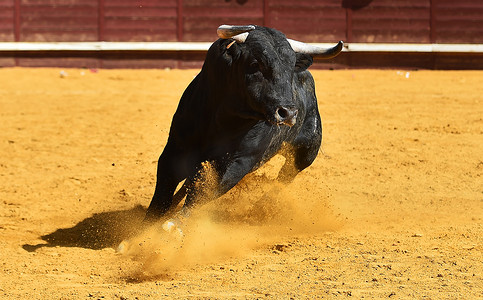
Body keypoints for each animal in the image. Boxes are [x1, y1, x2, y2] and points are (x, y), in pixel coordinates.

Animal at [144, 25, 344, 225]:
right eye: (256, 64)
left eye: (290, 68)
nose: (288, 113)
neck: (222, 120)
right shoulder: (175, 150)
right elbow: (162, 196)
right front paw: (144, 228)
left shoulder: (238, 163)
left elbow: (202, 192)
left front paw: (173, 225)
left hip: (306, 152)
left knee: (284, 177)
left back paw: (261, 207)